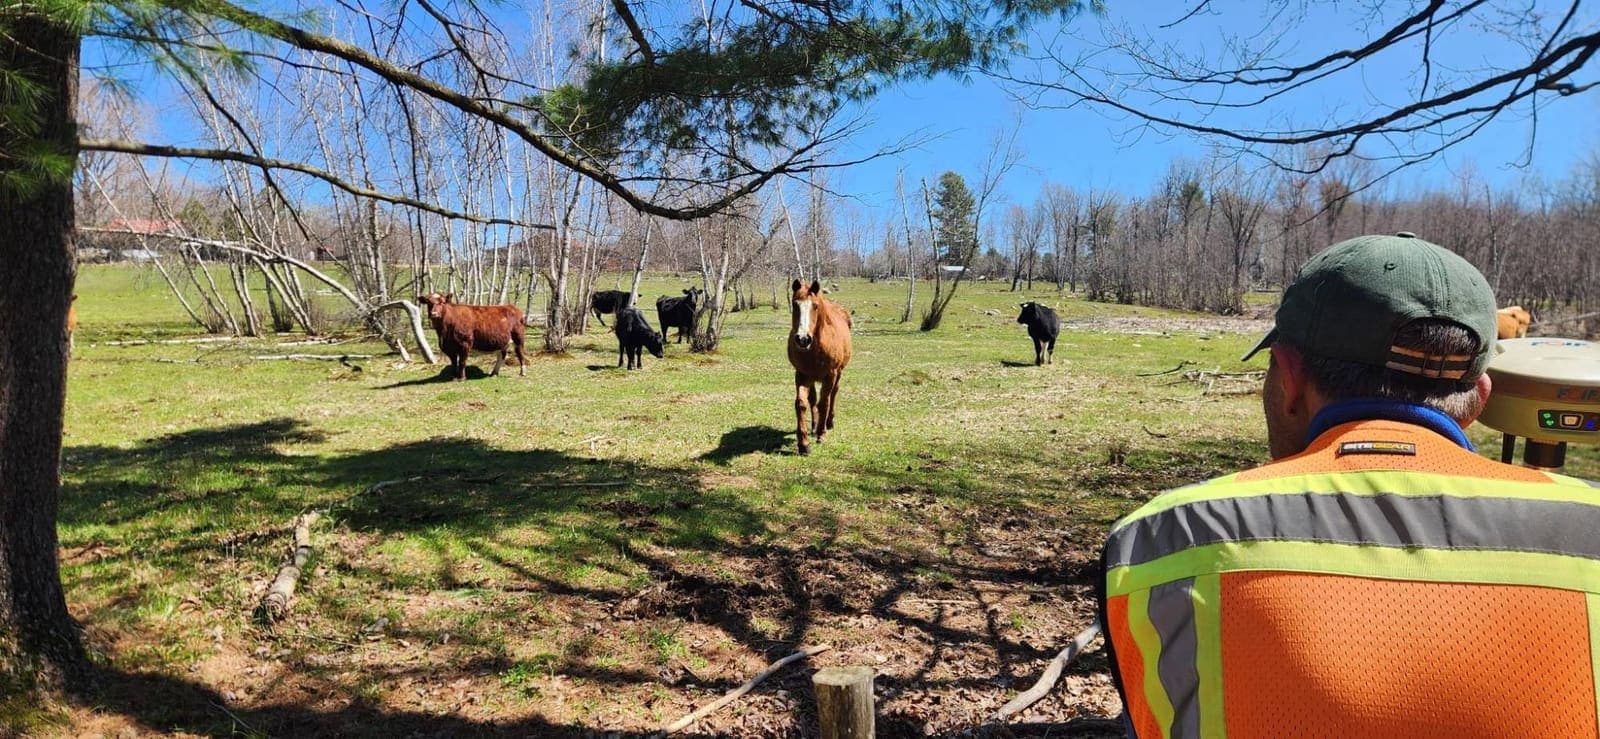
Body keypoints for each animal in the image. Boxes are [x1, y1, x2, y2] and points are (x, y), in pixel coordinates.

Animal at [786, 279, 852, 455]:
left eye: (815, 306)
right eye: (795, 304)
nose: (803, 339)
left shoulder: (830, 375)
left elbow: (824, 403)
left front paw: (821, 434)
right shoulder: (802, 374)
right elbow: (801, 403)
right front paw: (804, 444)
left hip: (838, 374)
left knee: (832, 395)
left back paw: (828, 423)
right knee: (813, 399)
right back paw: (814, 425)